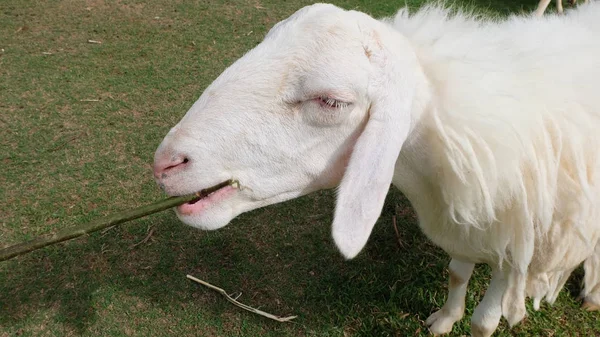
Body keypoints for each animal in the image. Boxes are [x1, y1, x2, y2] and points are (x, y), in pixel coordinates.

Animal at [155, 3, 600, 336]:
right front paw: (443, 319)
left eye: (332, 101)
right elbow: (457, 274)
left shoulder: (517, 248)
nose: (165, 163)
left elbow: (484, 324)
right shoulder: (467, 224)